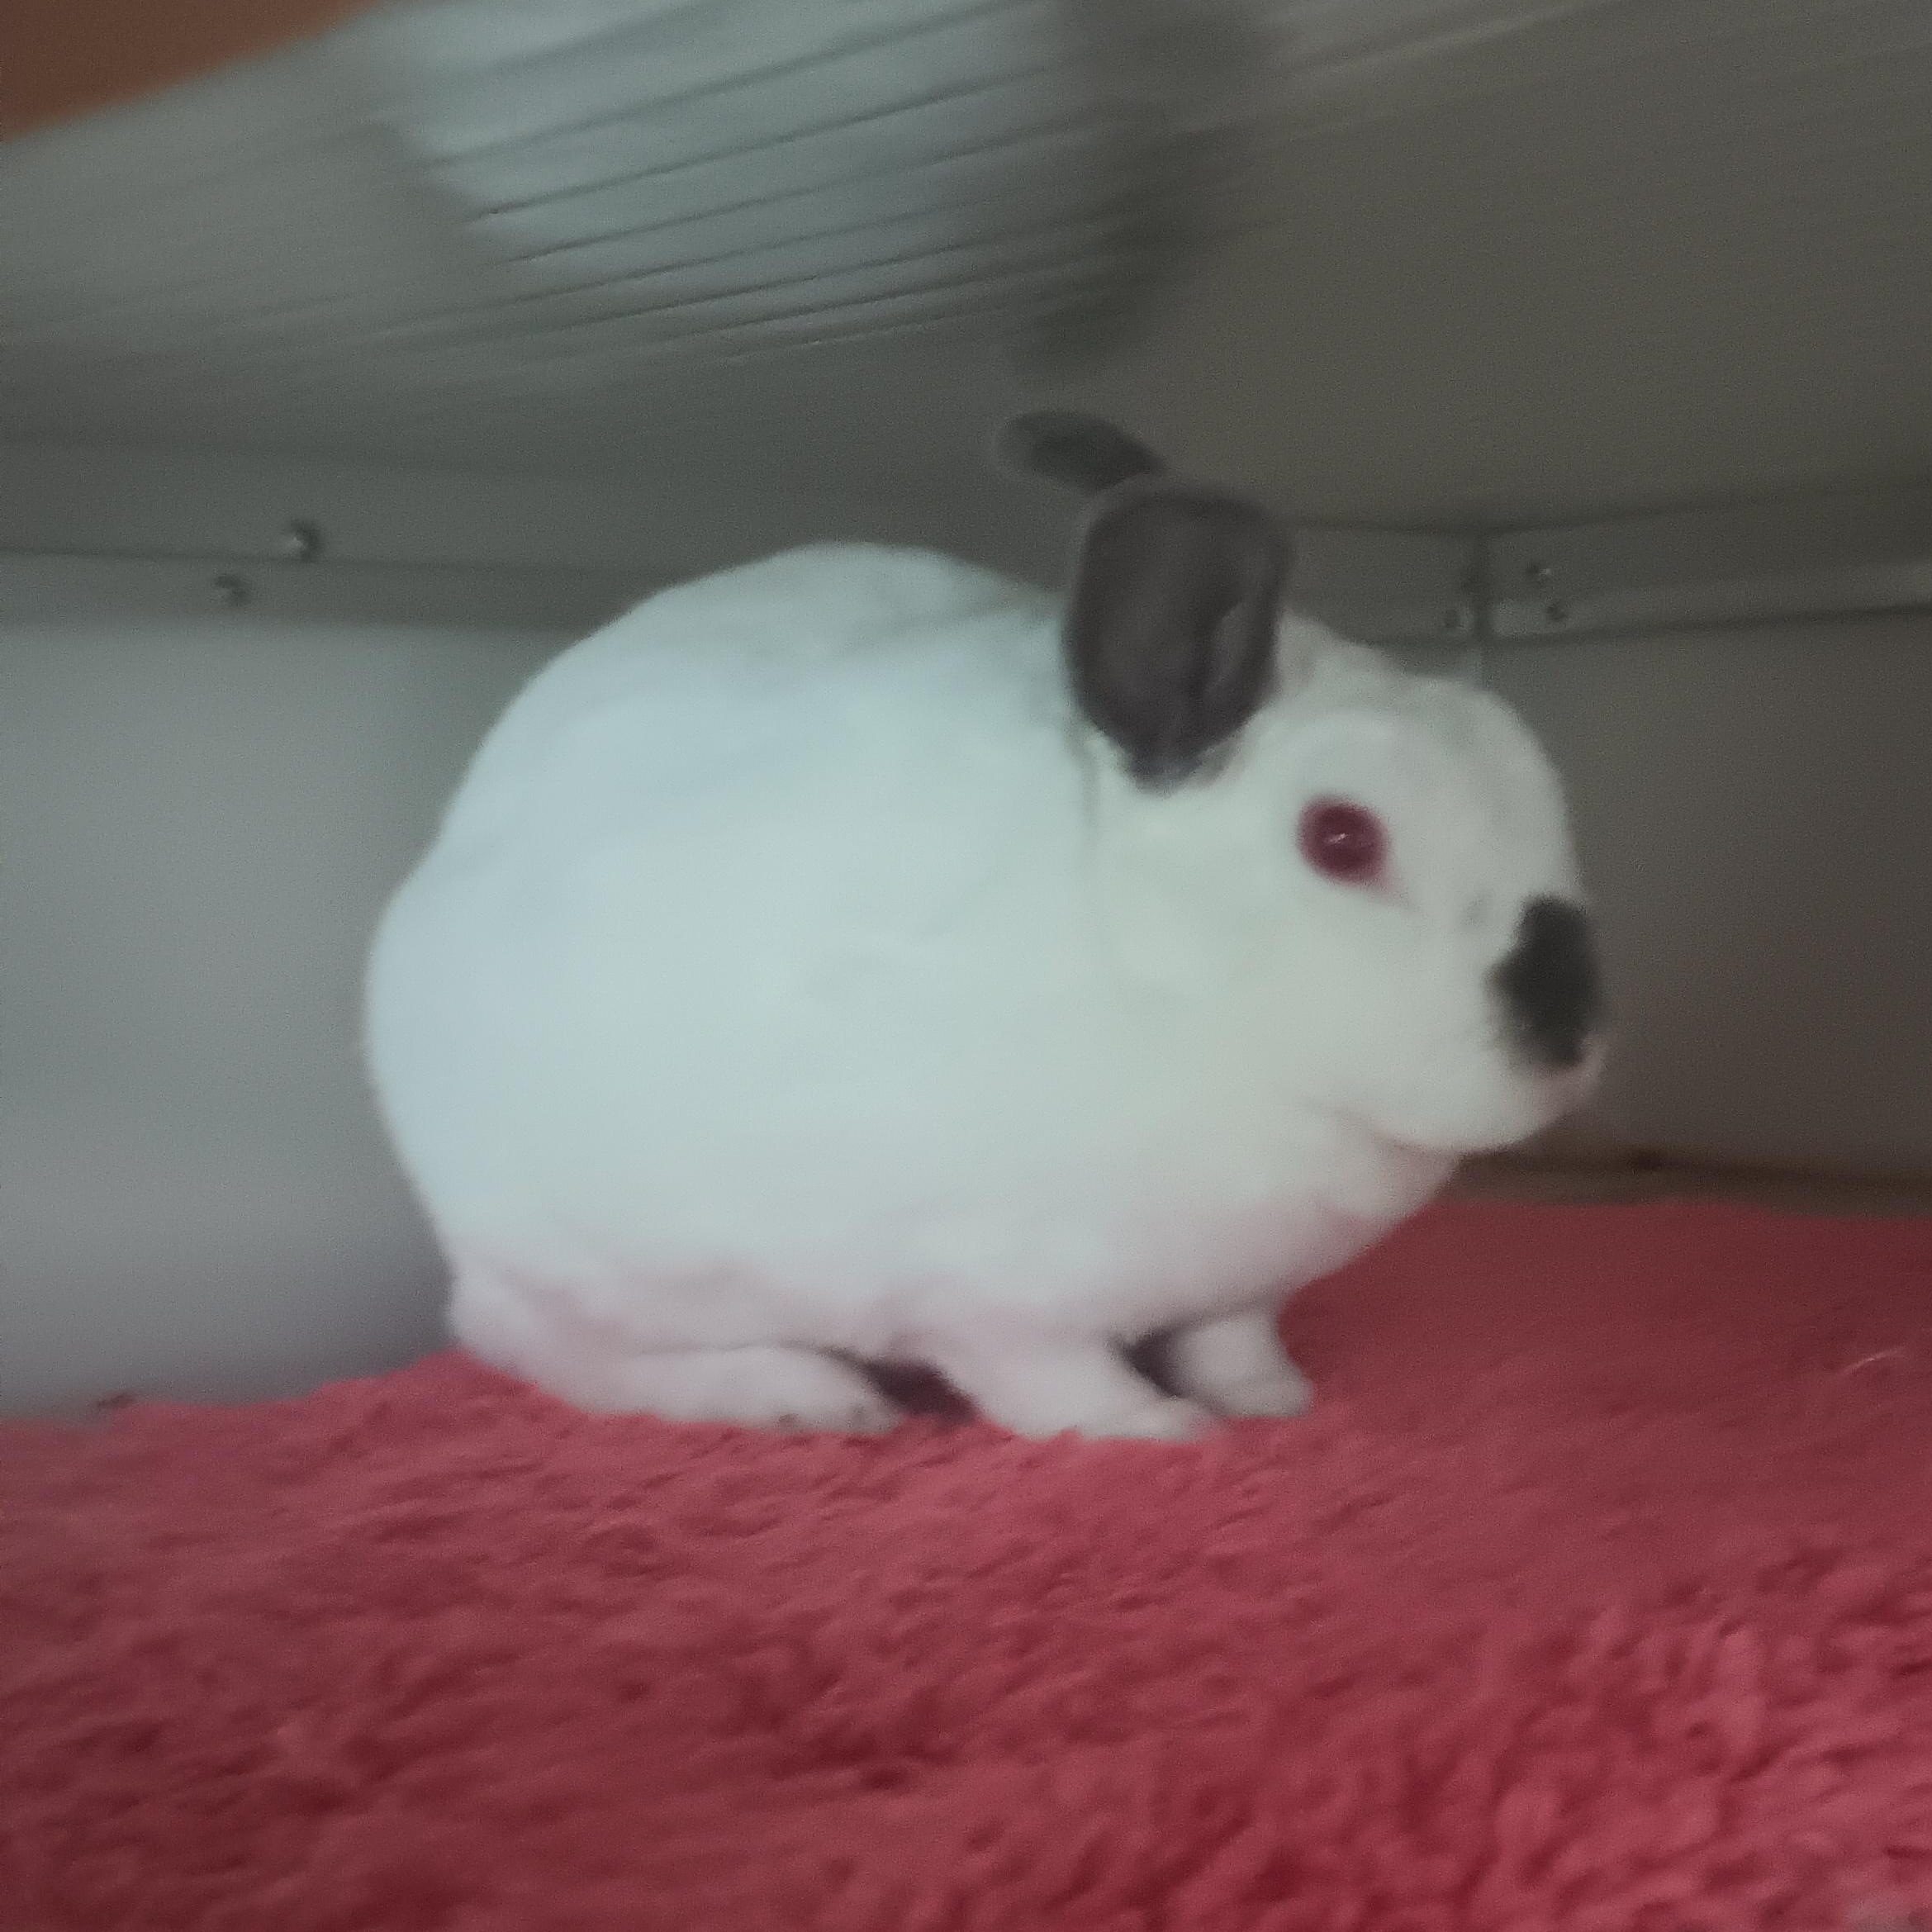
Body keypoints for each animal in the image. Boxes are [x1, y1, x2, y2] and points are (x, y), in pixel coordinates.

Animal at [363, 411, 1604, 1441]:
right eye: (1340, 837)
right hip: (587, 1267)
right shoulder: (993, 1294)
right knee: (546, 1349)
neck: (1170, 982)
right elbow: (1049, 1377)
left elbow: (1228, 1341)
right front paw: (1155, 1429)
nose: (1566, 1031)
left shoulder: (1237, 1289)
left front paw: (1268, 1401)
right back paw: (809, 1398)